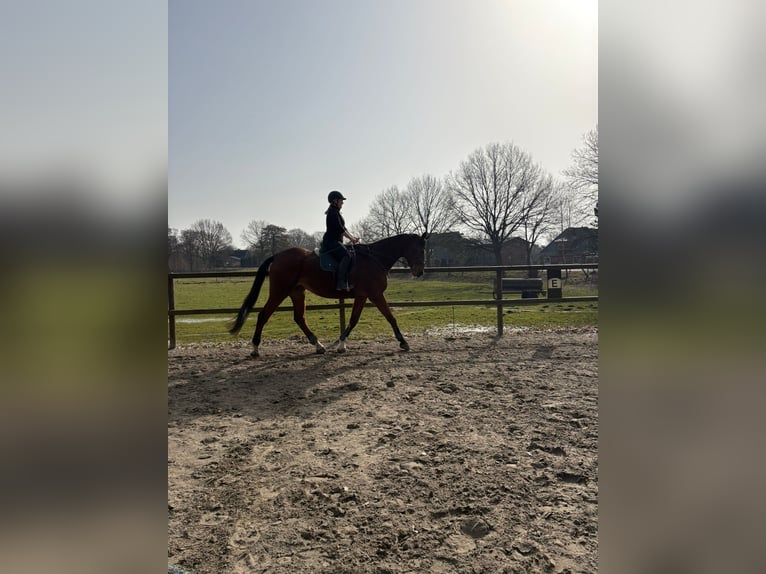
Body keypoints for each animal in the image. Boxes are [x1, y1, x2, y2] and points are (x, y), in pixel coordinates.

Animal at [229, 233, 429, 357]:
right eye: (420, 250)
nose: (419, 272)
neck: (374, 259)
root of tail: (277, 256)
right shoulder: (375, 294)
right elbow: (390, 317)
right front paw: (403, 342)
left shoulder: (362, 296)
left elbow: (354, 320)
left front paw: (341, 345)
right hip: (280, 291)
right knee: (263, 315)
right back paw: (255, 349)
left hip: (297, 292)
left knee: (299, 318)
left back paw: (318, 345)